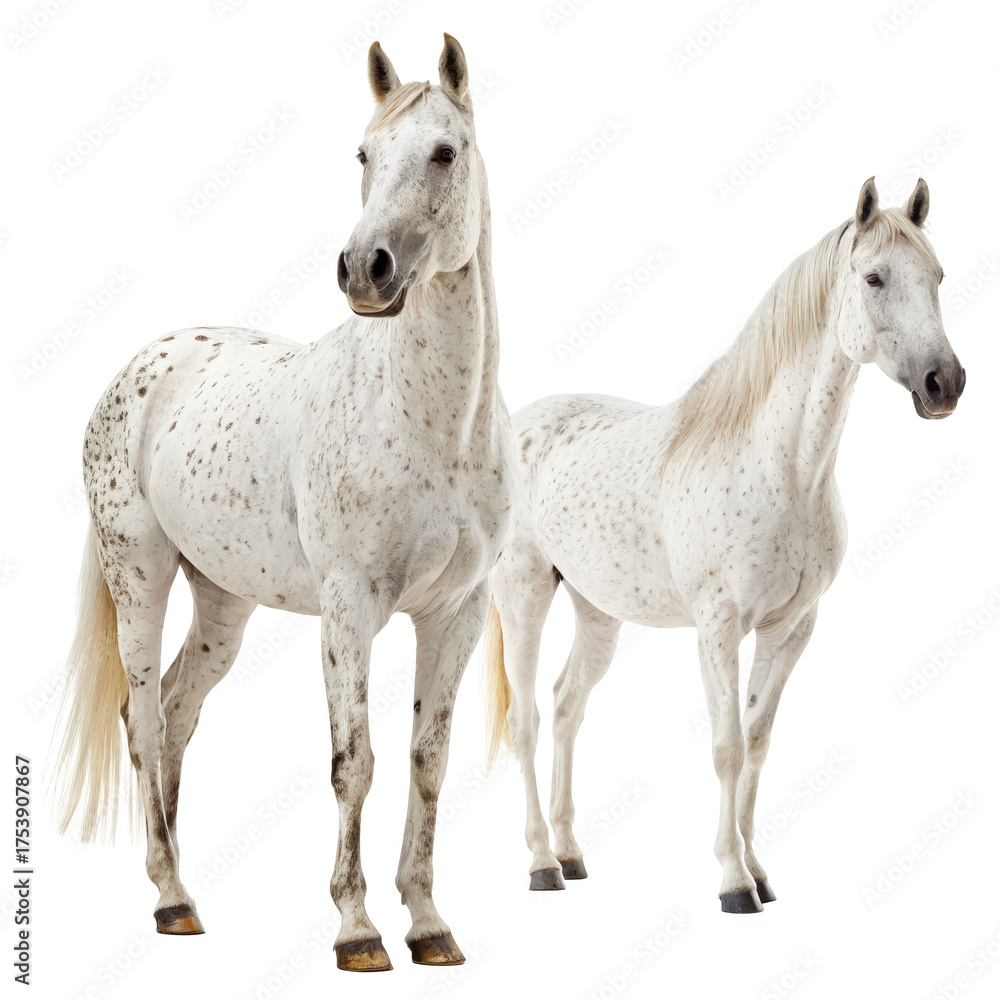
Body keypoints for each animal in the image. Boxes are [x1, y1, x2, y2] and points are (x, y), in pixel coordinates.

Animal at [51, 35, 513, 972]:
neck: (435, 426)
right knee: (143, 718)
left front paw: (429, 923)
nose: (365, 271)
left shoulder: (456, 610)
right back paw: (169, 897)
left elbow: (427, 760)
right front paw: (358, 929)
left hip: (224, 602)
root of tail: (137, 367)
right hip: (140, 580)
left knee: (180, 711)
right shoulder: (350, 610)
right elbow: (354, 762)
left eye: (446, 152)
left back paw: (182, 890)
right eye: (364, 155)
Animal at [484, 177, 965, 912]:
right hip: (525, 595)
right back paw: (541, 863)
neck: (783, 468)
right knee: (529, 721)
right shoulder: (719, 628)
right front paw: (733, 881)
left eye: (936, 276)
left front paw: (759, 870)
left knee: (567, 707)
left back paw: (571, 852)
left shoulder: (790, 628)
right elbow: (727, 747)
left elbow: (759, 742)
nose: (946, 383)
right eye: (874, 277)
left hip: (598, 612)